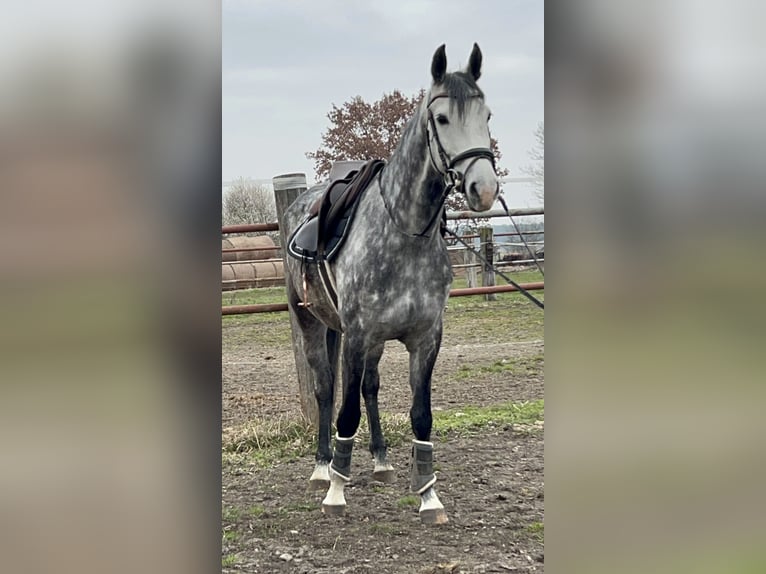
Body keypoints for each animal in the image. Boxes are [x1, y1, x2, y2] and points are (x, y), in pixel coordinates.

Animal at [284, 42, 500, 524]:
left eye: (487, 114)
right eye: (442, 119)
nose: (483, 188)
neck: (405, 233)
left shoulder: (425, 339)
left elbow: (421, 415)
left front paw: (429, 496)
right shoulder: (358, 335)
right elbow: (345, 411)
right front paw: (336, 492)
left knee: (370, 387)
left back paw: (380, 460)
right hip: (312, 323)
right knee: (326, 389)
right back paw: (323, 468)